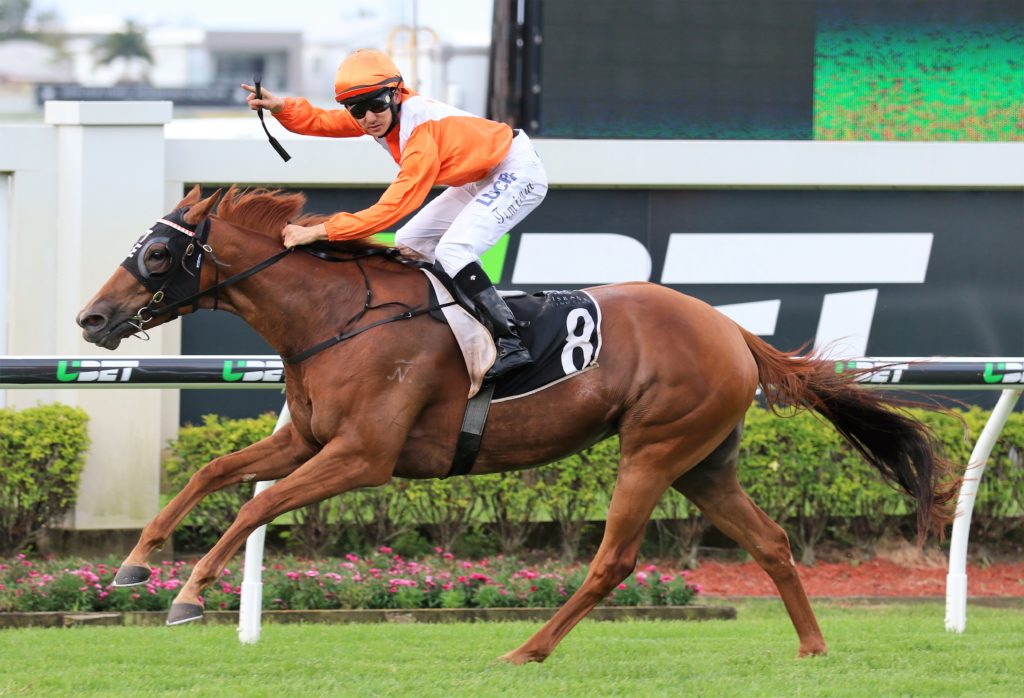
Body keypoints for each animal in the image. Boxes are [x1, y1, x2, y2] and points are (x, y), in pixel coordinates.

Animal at [77, 186, 958, 663]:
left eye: (158, 255)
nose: (92, 317)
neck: (335, 315)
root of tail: (733, 329)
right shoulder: (309, 437)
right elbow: (212, 473)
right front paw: (134, 565)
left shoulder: (364, 455)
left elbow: (257, 503)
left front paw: (190, 595)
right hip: (704, 462)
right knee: (771, 541)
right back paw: (812, 646)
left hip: (654, 447)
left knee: (613, 560)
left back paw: (528, 647)